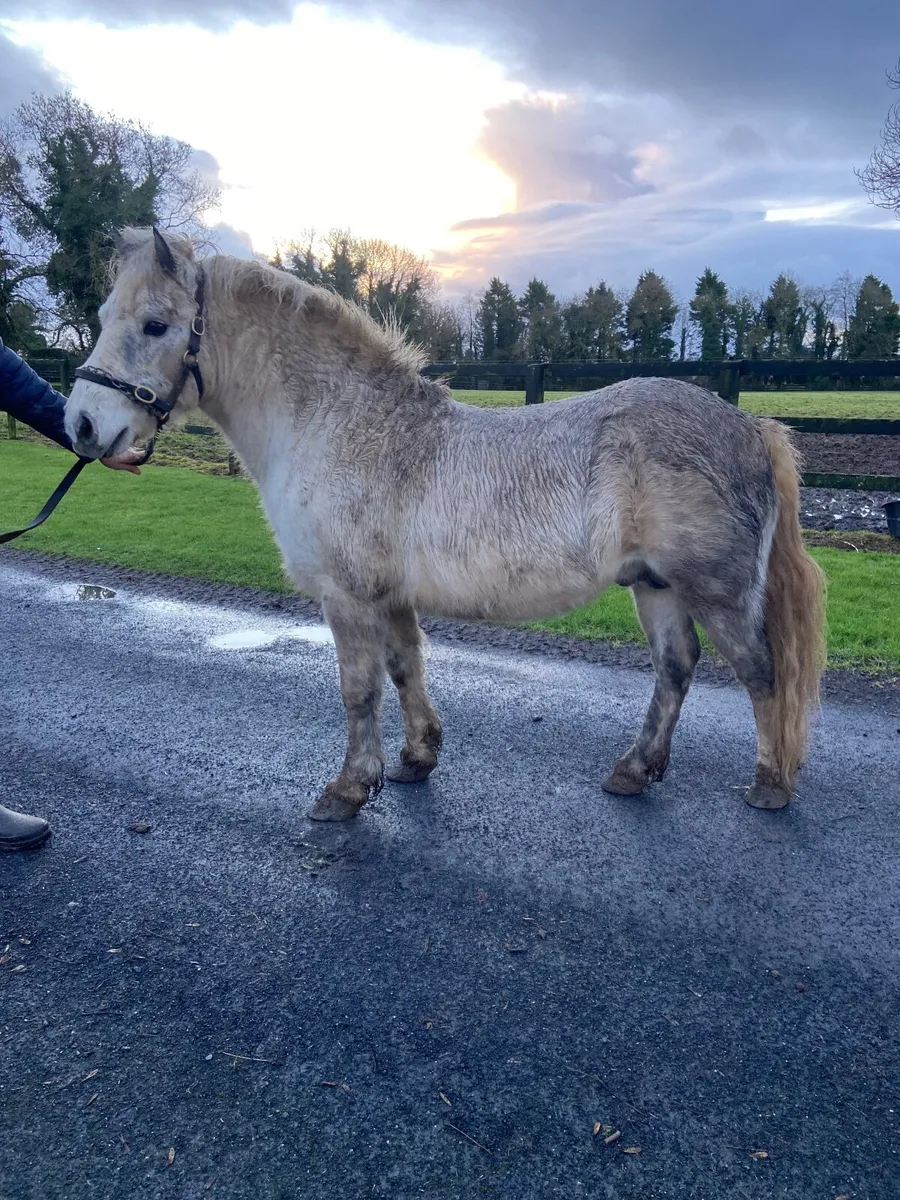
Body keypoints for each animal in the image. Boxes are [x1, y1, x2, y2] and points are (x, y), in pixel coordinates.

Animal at [65, 226, 825, 822]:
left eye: (156, 324)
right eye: (103, 313)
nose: (81, 425)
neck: (337, 423)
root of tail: (750, 426)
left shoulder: (348, 597)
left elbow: (359, 689)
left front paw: (348, 790)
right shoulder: (390, 597)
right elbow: (406, 669)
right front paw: (415, 759)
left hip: (715, 593)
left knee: (761, 672)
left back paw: (769, 786)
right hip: (654, 586)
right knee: (676, 668)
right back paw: (634, 772)